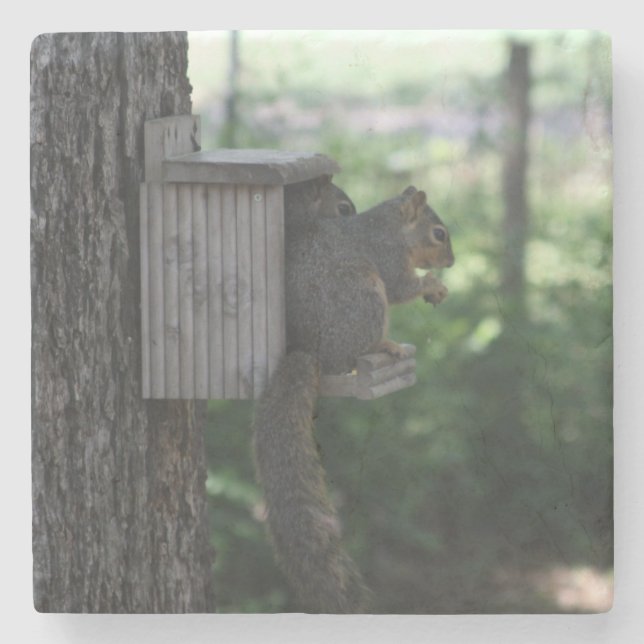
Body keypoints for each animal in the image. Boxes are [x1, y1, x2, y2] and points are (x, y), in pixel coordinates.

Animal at [253, 186, 454, 612]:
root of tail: (309, 351)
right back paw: (386, 347)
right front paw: (432, 285)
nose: (452, 262)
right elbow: (402, 288)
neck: (391, 226)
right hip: (364, 297)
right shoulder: (388, 259)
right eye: (438, 234)